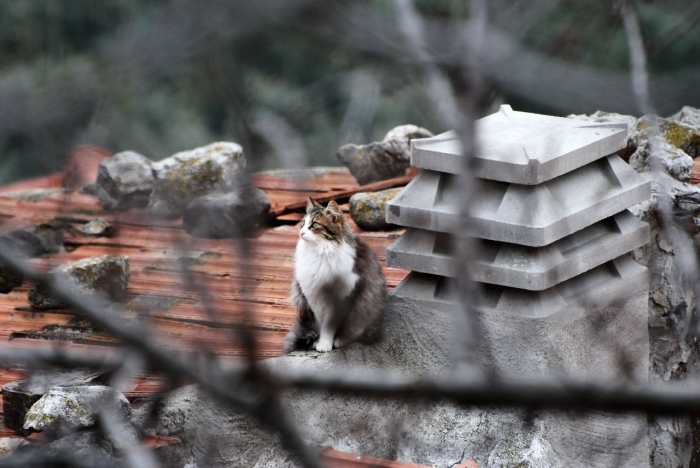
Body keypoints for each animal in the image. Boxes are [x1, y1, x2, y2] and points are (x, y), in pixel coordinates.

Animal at [284, 196, 388, 352]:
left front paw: (325, 344)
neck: (319, 253)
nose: (301, 233)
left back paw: (341, 340)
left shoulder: (342, 298)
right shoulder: (314, 298)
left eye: (314, 225)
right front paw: (319, 342)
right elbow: (321, 324)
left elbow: (329, 326)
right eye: (302, 224)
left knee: (356, 331)